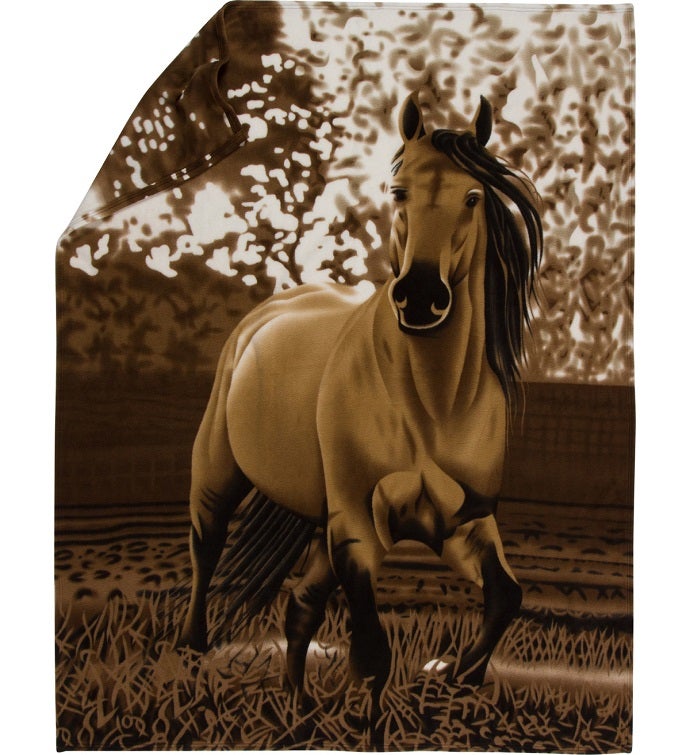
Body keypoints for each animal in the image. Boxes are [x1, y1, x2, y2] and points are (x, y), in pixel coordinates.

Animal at [179, 92, 542, 725]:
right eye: (398, 192)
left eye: (473, 197)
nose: (420, 299)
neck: (432, 405)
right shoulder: (358, 533)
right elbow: (372, 655)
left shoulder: (464, 523)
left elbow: (505, 596)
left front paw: (456, 676)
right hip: (221, 474)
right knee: (206, 547)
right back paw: (196, 649)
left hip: (324, 528)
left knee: (300, 604)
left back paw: (298, 710)